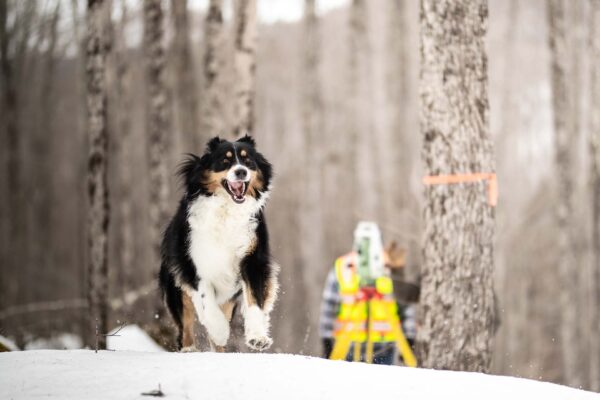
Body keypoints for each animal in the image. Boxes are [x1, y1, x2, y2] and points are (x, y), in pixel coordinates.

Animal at [161, 136, 280, 352]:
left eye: (248, 161)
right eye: (225, 161)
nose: (241, 171)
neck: (227, 209)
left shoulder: (253, 259)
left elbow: (255, 300)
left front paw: (257, 337)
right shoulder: (194, 263)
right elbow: (205, 299)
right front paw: (219, 330)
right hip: (175, 284)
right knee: (185, 326)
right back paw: (191, 348)